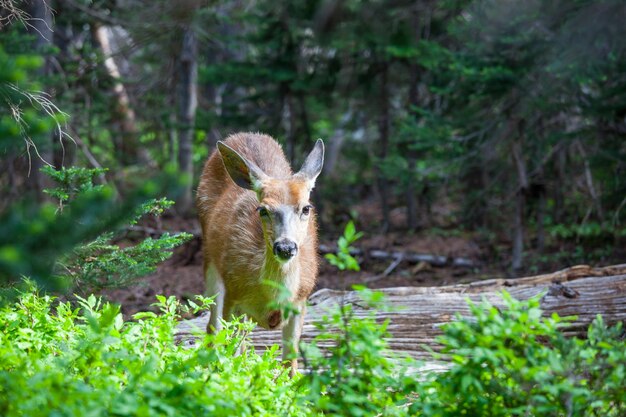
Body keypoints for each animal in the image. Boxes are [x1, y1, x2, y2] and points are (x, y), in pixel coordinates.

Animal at [196, 132, 324, 372]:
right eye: (263, 210)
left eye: (306, 208)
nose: (285, 247)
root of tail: (244, 134)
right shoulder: (233, 295)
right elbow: (230, 353)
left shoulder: (300, 302)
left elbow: (290, 364)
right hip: (210, 260)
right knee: (213, 328)